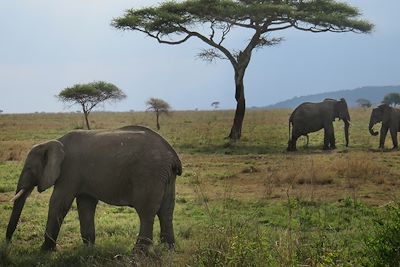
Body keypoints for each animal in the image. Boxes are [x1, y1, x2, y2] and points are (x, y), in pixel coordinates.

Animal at [4, 125, 183, 253]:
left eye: (29, 169)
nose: (8, 244)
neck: (53, 142)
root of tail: (172, 155)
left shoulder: (69, 171)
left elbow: (59, 202)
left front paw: (45, 251)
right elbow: (85, 205)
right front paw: (88, 249)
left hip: (149, 174)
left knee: (146, 212)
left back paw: (140, 253)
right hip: (166, 177)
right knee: (166, 211)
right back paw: (168, 249)